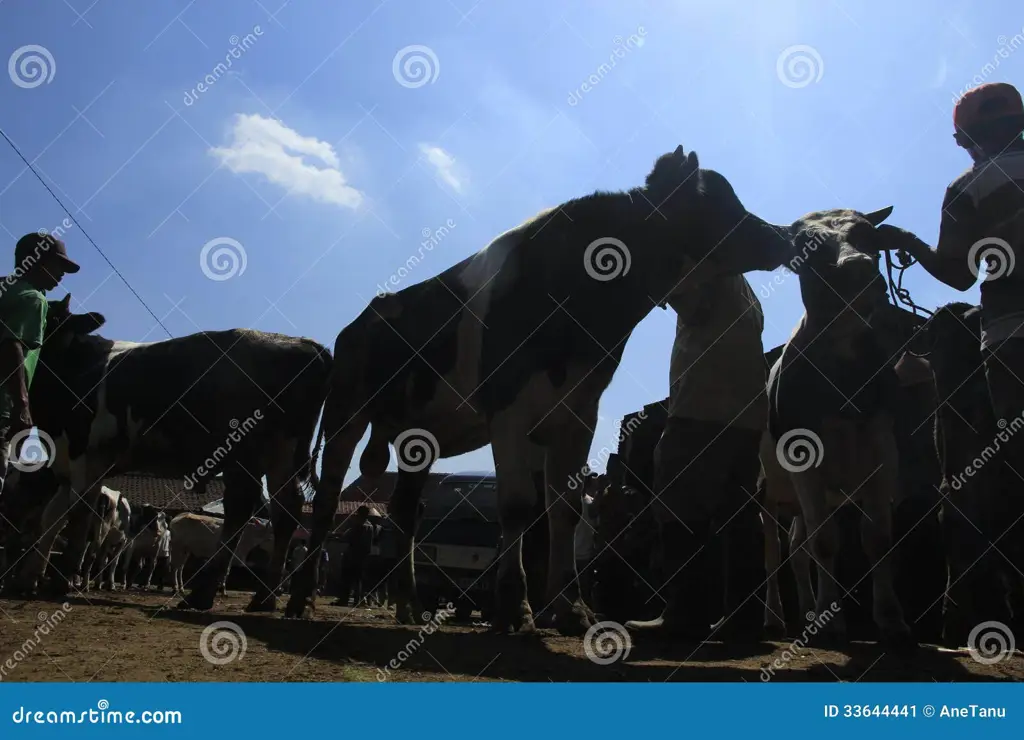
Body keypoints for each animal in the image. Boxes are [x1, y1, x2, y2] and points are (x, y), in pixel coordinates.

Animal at [14, 294, 331, 614]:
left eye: (47, 316)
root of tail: (307, 344)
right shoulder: (67, 463)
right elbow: (52, 519)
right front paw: (31, 578)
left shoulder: (84, 455)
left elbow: (78, 516)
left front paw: (59, 581)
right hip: (281, 455)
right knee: (285, 510)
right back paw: (263, 597)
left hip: (244, 451)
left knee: (241, 507)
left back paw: (203, 594)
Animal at [284, 146, 794, 638]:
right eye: (715, 202)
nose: (783, 236)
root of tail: (360, 321)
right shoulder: (510, 411)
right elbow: (516, 507)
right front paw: (515, 608)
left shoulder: (578, 415)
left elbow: (563, 511)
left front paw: (571, 610)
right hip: (345, 414)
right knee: (327, 499)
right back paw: (300, 599)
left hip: (417, 437)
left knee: (407, 510)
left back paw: (410, 605)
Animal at [765, 205, 917, 650]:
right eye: (806, 247)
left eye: (870, 236)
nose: (859, 268)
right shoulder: (803, 459)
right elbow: (826, 541)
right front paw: (832, 626)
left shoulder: (883, 450)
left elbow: (877, 539)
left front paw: (892, 622)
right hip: (766, 489)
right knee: (773, 551)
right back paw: (775, 620)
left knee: (796, 548)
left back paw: (805, 614)